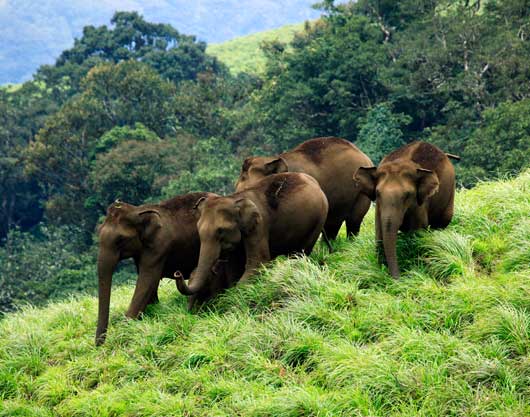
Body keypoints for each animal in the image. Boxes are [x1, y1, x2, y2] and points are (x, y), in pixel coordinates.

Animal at [96, 192, 216, 344]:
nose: (99, 345)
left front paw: (124, 331)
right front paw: (153, 309)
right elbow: (148, 283)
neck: (138, 210)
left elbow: (147, 280)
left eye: (120, 240)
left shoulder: (159, 246)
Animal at [175, 172, 328, 300]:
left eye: (220, 231)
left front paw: (234, 296)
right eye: (198, 230)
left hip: (319, 218)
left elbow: (257, 262)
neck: (234, 199)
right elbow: (234, 267)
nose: (178, 273)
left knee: (302, 251)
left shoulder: (259, 226)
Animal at [352, 141, 456, 278]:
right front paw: (381, 270)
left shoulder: (420, 204)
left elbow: (417, 233)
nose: (398, 277)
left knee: (440, 224)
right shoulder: (379, 207)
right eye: (378, 193)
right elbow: (379, 231)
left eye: (407, 195)